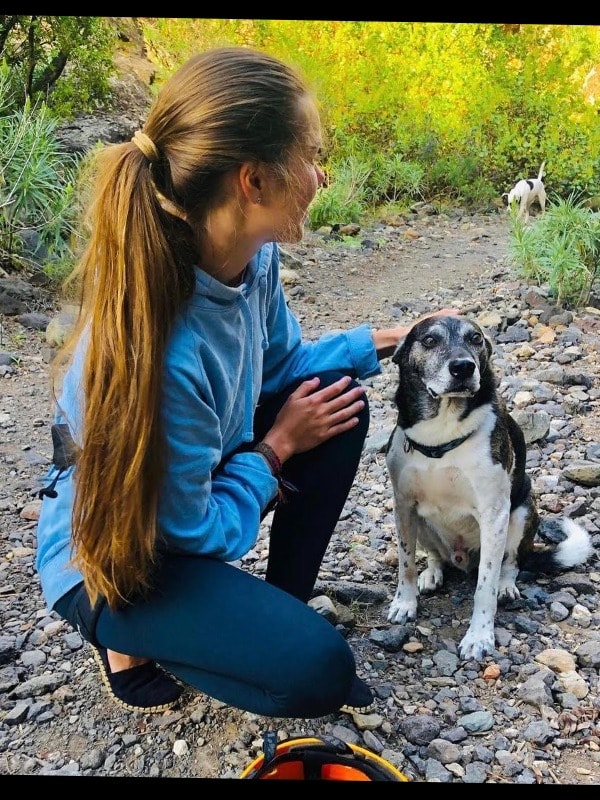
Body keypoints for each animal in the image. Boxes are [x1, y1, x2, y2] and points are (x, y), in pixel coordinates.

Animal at [384, 315, 593, 661]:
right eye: (429, 340)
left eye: (476, 339)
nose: (463, 367)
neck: (441, 434)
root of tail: (461, 559)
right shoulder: (403, 506)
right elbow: (406, 564)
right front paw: (405, 603)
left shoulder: (494, 514)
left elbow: (486, 585)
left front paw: (479, 637)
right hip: (424, 524)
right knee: (435, 555)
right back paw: (433, 573)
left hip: (521, 513)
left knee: (511, 562)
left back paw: (507, 586)